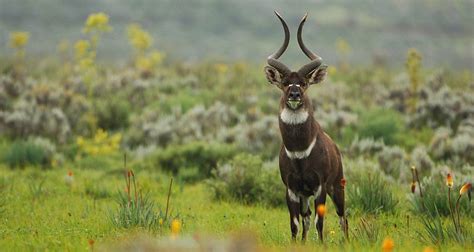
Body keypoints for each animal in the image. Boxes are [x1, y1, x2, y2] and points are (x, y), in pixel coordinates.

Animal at [264, 12, 346, 242]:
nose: (294, 94)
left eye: (304, 83)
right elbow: (295, 223)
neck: (300, 151)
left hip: (337, 187)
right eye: (284, 83)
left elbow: (320, 222)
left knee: (342, 217)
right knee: (306, 217)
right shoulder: (292, 189)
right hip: (305, 195)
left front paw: (322, 244)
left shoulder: (320, 187)